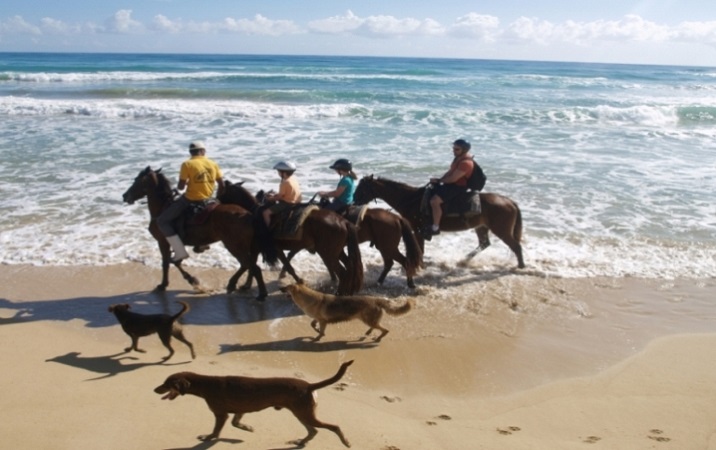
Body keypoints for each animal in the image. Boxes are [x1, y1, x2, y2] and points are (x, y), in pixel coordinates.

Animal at [122, 167, 272, 300]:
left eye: (137, 180)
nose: (124, 196)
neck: (162, 208)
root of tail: (248, 215)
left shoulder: (163, 241)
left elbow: (167, 263)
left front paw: (166, 284)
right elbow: (175, 262)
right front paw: (191, 280)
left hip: (233, 245)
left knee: (251, 266)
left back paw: (260, 293)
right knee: (248, 265)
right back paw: (236, 285)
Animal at [154, 358, 352, 446]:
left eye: (166, 383)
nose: (155, 389)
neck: (205, 384)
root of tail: (310, 385)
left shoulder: (220, 414)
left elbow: (215, 431)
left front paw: (208, 437)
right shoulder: (240, 409)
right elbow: (236, 423)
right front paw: (246, 428)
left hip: (304, 413)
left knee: (333, 426)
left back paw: (346, 442)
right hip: (301, 413)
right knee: (313, 431)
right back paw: (301, 442)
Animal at [218, 179, 364, 296]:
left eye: (220, 192)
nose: (215, 203)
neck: (255, 214)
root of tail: (343, 221)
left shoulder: (265, 248)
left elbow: (255, 265)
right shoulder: (263, 249)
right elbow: (255, 266)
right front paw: (246, 285)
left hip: (328, 253)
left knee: (343, 273)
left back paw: (339, 294)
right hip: (337, 252)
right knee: (349, 268)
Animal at [280, 282, 414, 342]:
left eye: (286, 287)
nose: (280, 288)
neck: (307, 297)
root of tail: (377, 299)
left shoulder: (323, 321)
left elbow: (320, 330)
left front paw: (317, 337)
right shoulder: (318, 319)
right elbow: (312, 324)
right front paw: (317, 332)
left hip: (368, 319)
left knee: (385, 330)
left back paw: (377, 338)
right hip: (368, 320)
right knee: (376, 326)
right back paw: (369, 333)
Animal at [352, 175, 524, 268]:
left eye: (362, 188)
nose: (353, 201)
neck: (411, 199)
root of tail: (510, 202)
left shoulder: (418, 229)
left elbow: (420, 248)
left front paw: (419, 264)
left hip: (501, 230)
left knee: (515, 246)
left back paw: (521, 266)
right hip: (481, 226)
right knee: (484, 243)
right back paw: (463, 260)